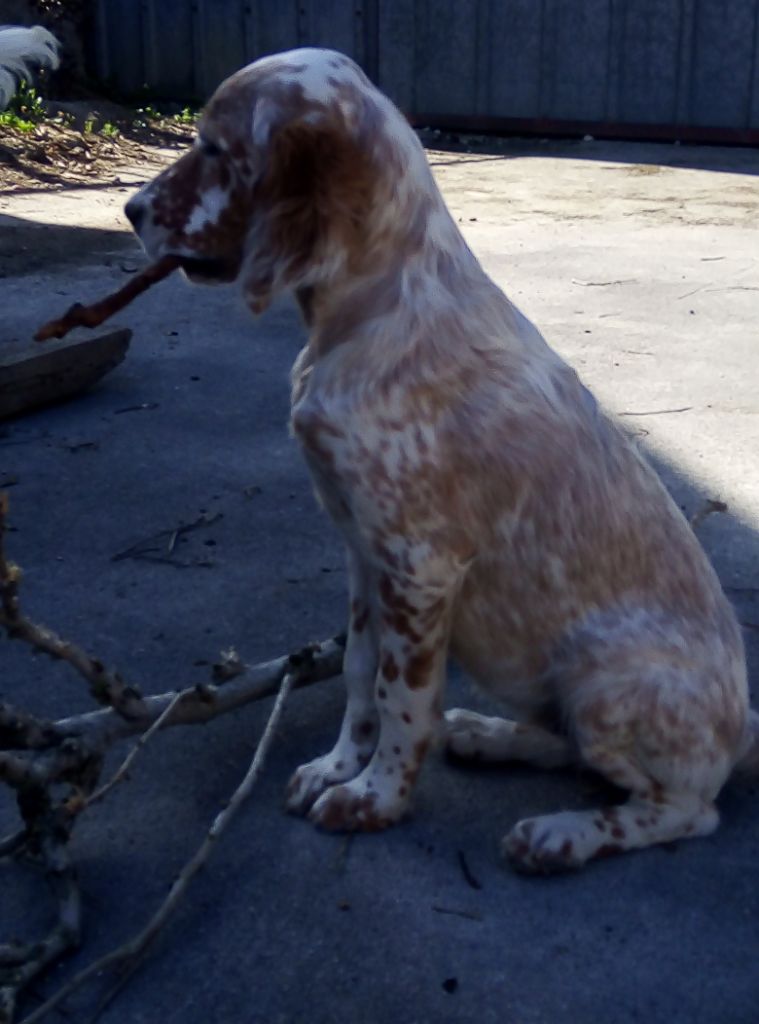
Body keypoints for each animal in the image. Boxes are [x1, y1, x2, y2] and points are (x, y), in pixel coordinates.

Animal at [125, 44, 757, 868]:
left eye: (213, 149)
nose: (131, 210)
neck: (369, 316)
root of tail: (744, 730)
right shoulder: (363, 550)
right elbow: (360, 671)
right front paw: (338, 766)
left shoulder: (419, 564)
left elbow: (403, 697)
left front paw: (374, 798)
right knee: (571, 750)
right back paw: (491, 736)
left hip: (604, 683)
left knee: (681, 808)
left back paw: (561, 834)